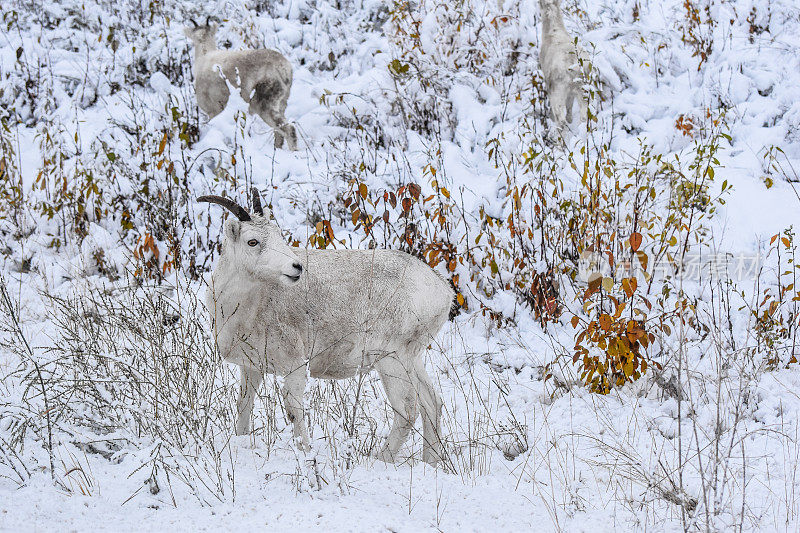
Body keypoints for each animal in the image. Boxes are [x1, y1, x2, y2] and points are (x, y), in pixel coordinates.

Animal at [184, 19, 296, 150]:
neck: (203, 57)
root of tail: (285, 69)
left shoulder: (213, 109)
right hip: (282, 101)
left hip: (265, 100)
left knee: (289, 129)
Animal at [199, 189, 454, 464]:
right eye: (253, 242)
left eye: (278, 235)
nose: (296, 267)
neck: (245, 306)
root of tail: (443, 290)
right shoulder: (251, 367)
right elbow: (244, 405)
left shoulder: (295, 366)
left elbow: (294, 410)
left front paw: (306, 452)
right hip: (411, 358)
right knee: (432, 403)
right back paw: (431, 461)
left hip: (391, 359)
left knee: (407, 409)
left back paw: (379, 458)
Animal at [536, 0, 588, 132]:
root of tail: (573, 65)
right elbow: (569, 106)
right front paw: (570, 119)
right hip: (583, 89)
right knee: (584, 117)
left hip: (557, 92)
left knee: (561, 120)